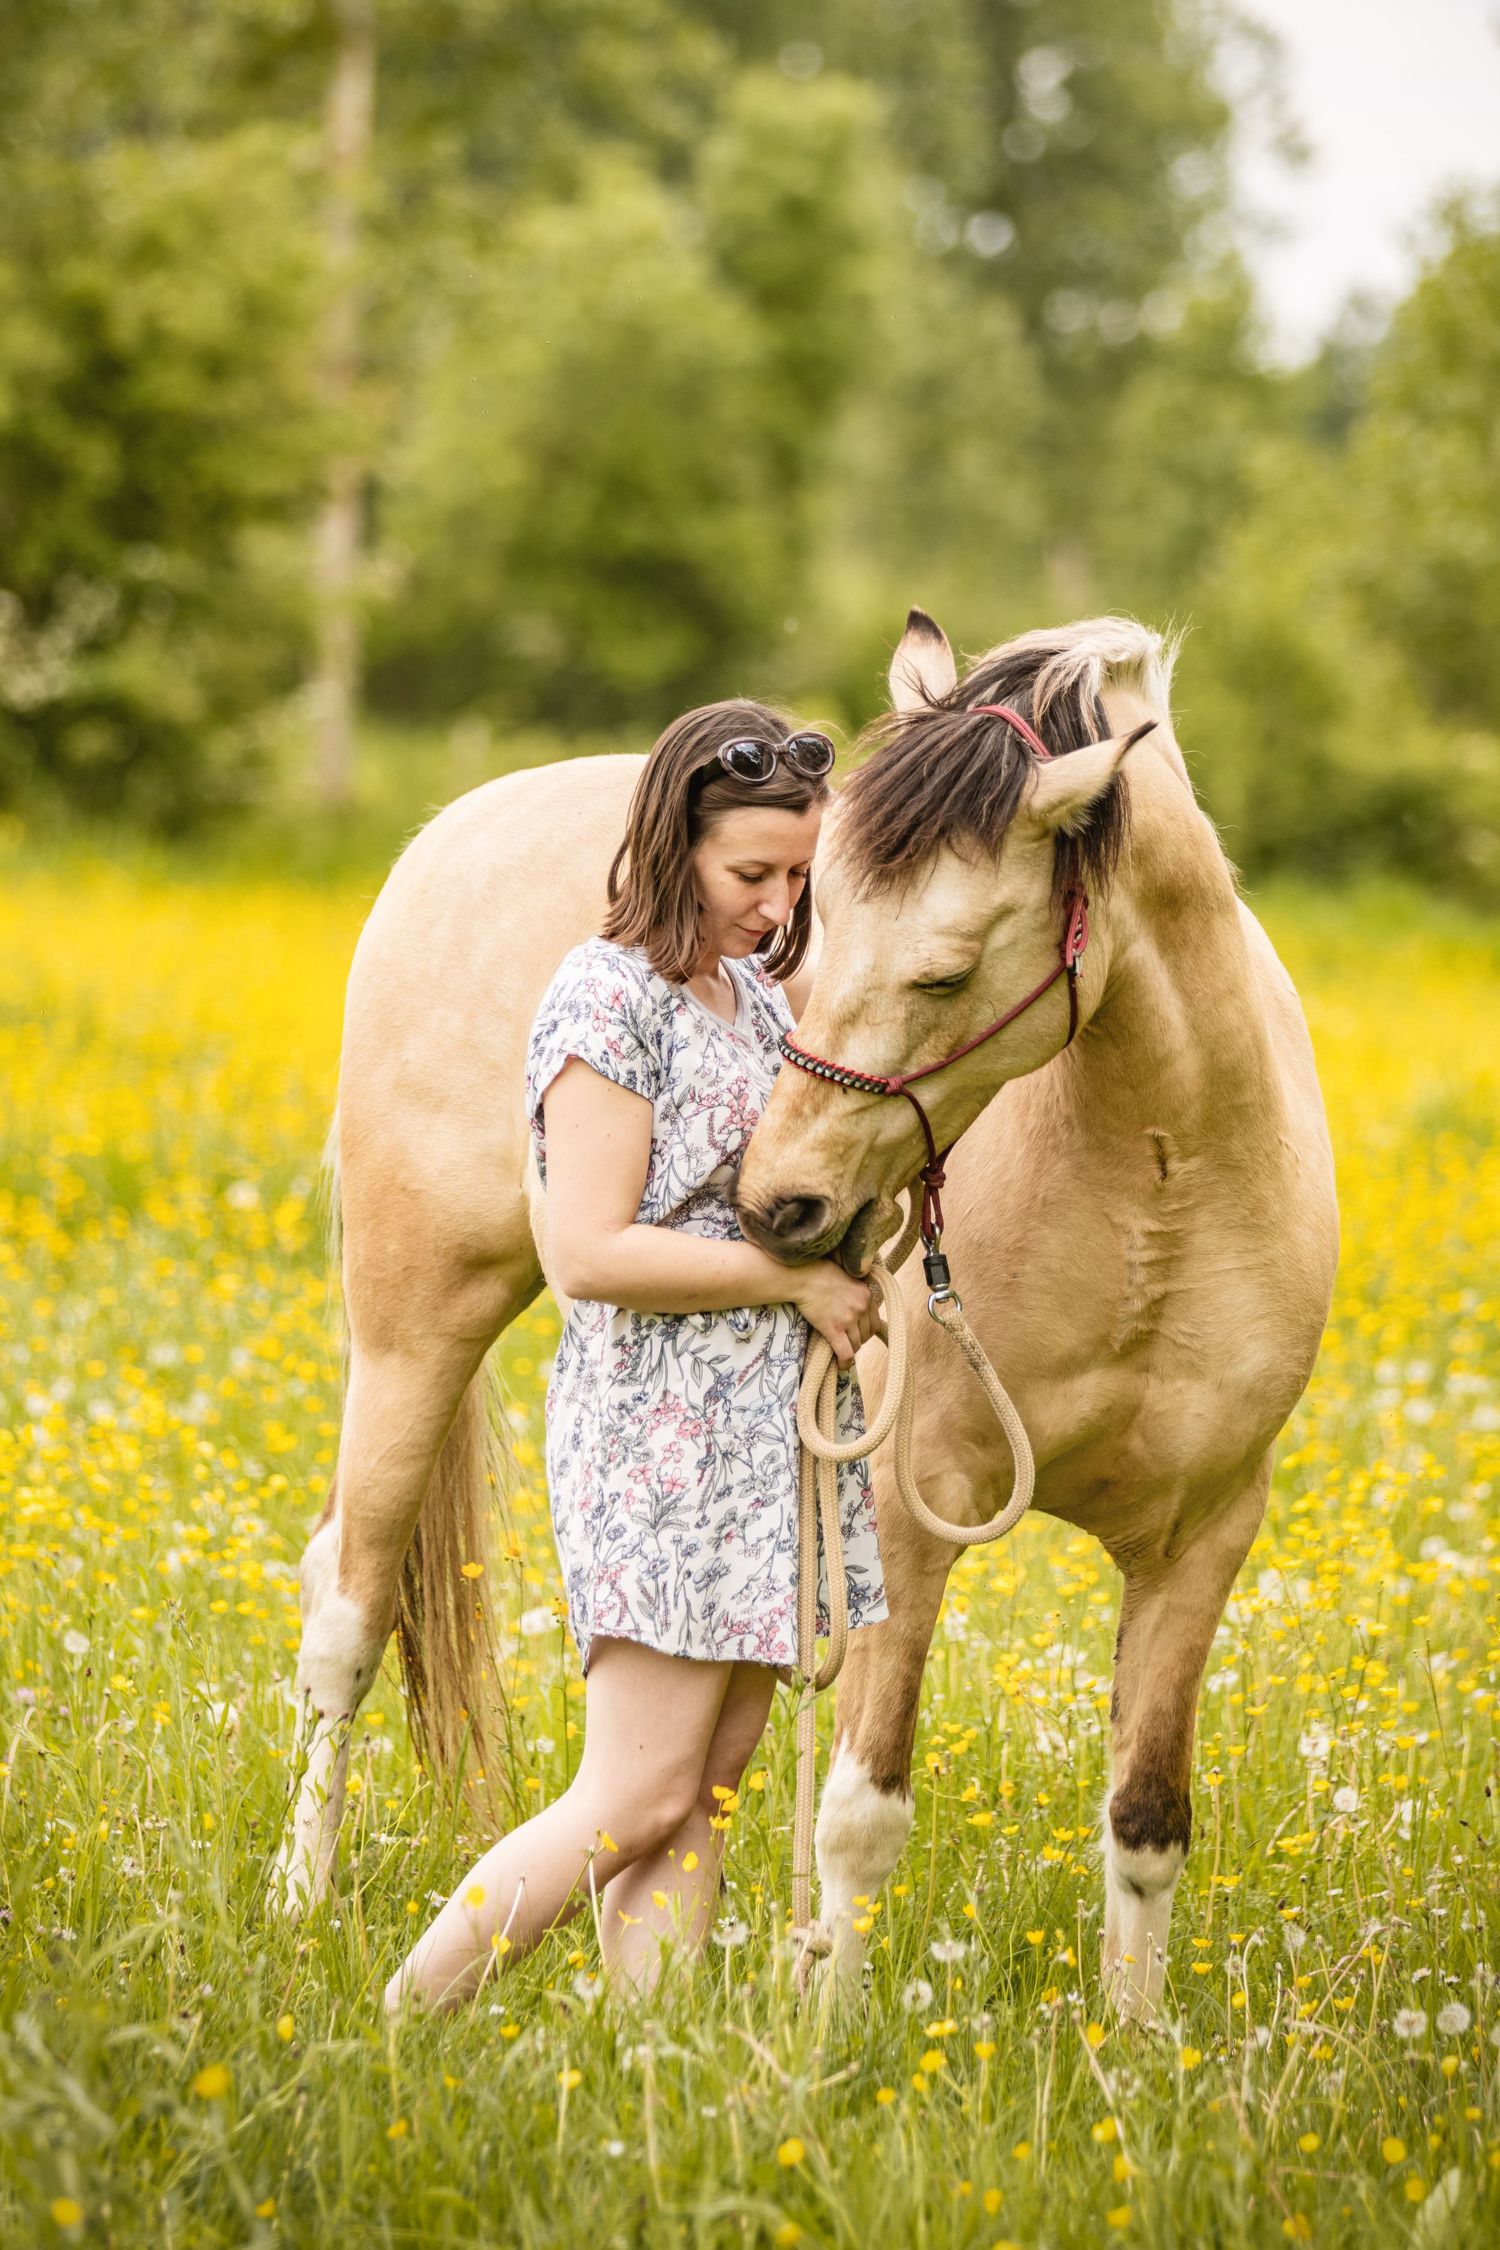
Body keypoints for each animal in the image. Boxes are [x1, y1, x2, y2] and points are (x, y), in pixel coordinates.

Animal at [270, 611, 1338, 2025]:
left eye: (944, 971)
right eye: (813, 919)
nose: (782, 1200)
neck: (1158, 1190)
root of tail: (452, 831)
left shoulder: (1205, 1538)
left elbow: (1148, 1818)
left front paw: (1134, 2035)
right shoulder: (908, 1517)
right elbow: (861, 1814)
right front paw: (825, 2038)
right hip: (414, 1333)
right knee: (345, 1611)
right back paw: (298, 1903)